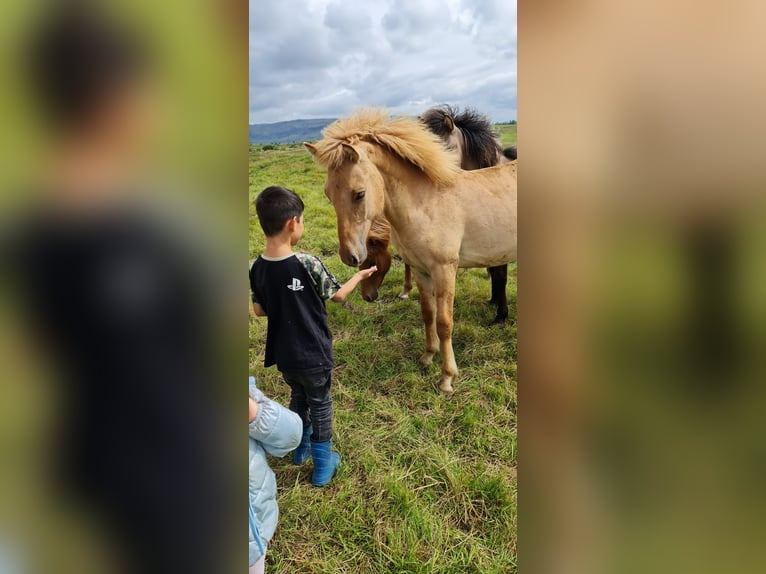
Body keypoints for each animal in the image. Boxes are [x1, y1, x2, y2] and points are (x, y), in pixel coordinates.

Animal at [306, 109, 516, 394]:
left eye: (359, 194)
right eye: (328, 194)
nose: (349, 255)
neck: (427, 201)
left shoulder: (444, 269)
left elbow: (444, 322)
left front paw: (447, 378)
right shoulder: (420, 269)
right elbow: (428, 314)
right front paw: (428, 356)